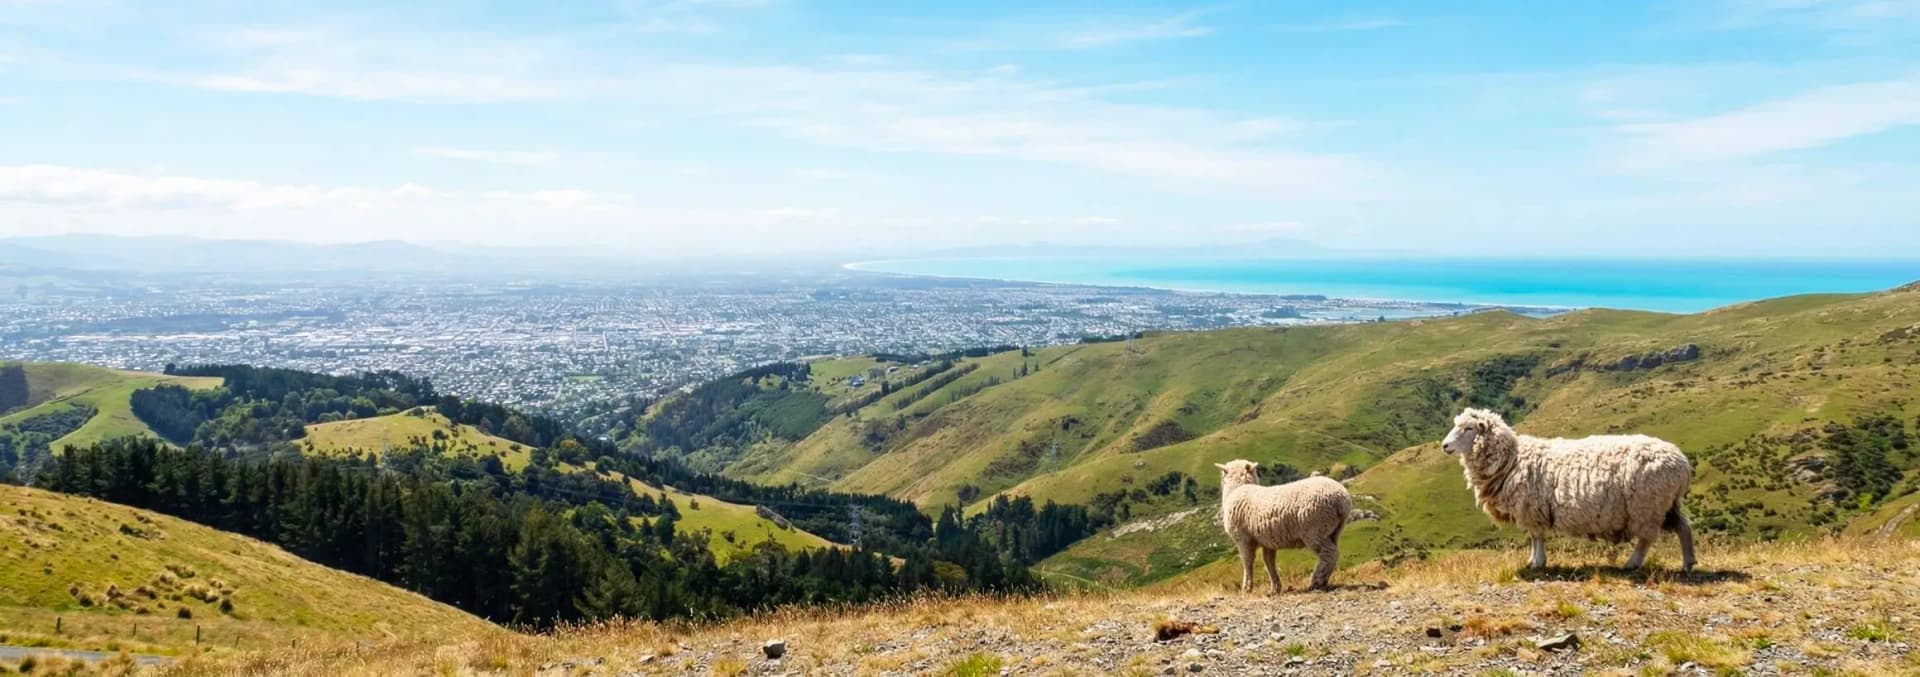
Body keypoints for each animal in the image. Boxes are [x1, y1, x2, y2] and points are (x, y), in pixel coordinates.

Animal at [1215, 460, 1352, 593]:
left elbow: (1248, 562)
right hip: (1332, 531)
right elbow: (1268, 562)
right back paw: (1322, 581)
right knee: (1332, 554)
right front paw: (1275, 588)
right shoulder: (1268, 541)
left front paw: (1247, 588)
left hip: (1315, 529)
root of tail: (1342, 500)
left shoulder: (1243, 539)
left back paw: (1316, 582)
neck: (1238, 488)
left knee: (1329, 554)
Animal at [1442, 408, 1696, 571]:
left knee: (1646, 539)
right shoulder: (1533, 510)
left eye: (1468, 428)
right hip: (1666, 505)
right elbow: (1534, 537)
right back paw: (1688, 563)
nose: (1444, 446)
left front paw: (1537, 562)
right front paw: (1533, 560)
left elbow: (1537, 536)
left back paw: (1631, 563)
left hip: (1646, 506)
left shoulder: (1532, 508)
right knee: (1684, 527)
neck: (1511, 459)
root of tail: (1682, 462)